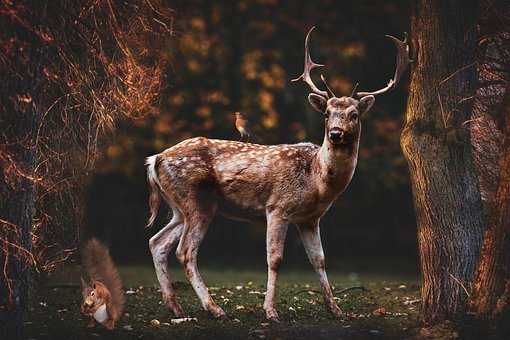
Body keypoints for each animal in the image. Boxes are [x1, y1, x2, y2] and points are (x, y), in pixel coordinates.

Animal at [144, 27, 410, 322]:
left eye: (354, 114)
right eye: (327, 114)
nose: (335, 133)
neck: (316, 182)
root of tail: (155, 159)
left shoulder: (310, 219)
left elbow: (319, 259)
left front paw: (335, 309)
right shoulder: (277, 207)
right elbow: (275, 258)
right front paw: (270, 311)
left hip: (180, 207)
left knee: (157, 242)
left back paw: (175, 306)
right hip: (196, 200)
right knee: (185, 251)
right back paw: (215, 308)